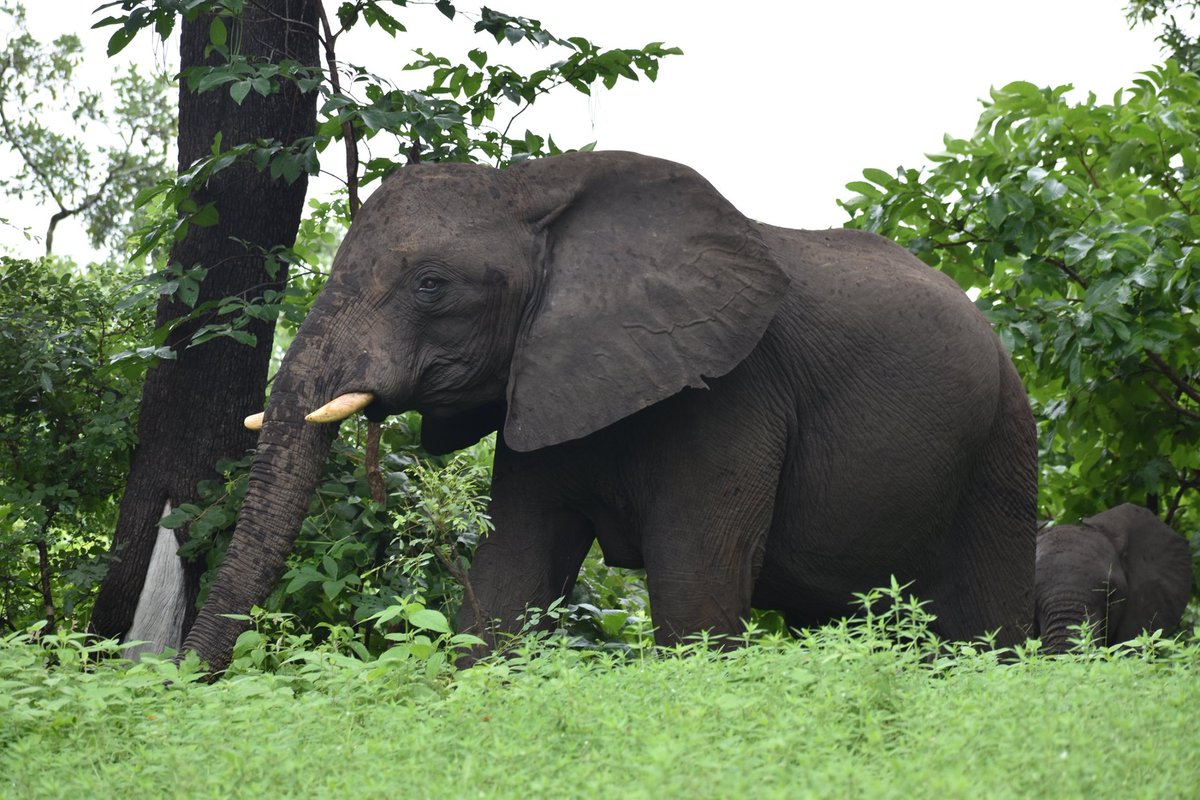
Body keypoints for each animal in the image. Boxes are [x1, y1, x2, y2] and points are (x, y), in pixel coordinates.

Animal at [180, 150, 1037, 671]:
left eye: (431, 286)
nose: (171, 678)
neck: (534, 191)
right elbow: (512, 575)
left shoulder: (735, 393)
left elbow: (696, 589)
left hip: (1006, 435)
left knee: (986, 626)